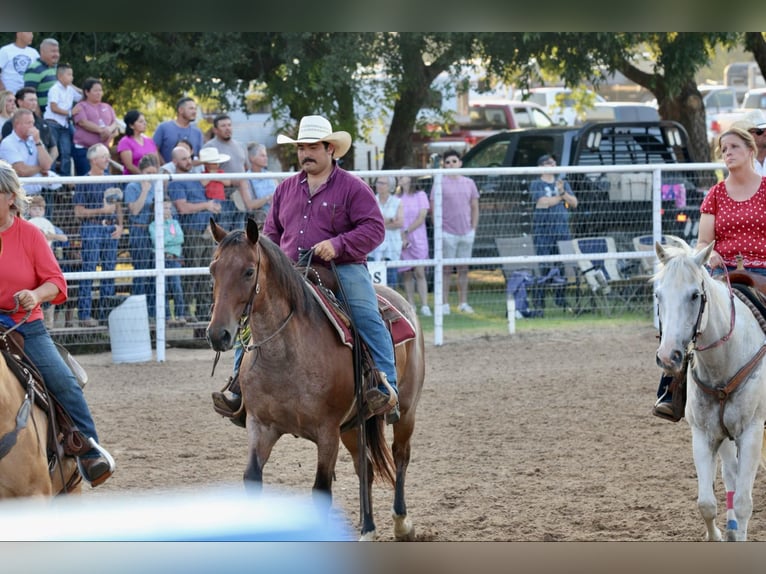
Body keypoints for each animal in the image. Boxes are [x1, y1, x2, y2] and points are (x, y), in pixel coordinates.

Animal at [206, 218, 425, 541]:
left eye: (248, 271)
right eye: (213, 269)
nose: (217, 334)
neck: (285, 356)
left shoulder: (327, 432)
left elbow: (321, 490)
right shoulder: (261, 426)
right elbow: (252, 478)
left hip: (406, 411)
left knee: (400, 456)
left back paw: (402, 523)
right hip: (353, 425)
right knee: (366, 468)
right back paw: (368, 529)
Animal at [654, 239, 766, 541]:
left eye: (695, 295)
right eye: (658, 295)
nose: (668, 357)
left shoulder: (751, 432)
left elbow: (744, 502)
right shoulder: (704, 435)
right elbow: (706, 503)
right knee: (730, 474)